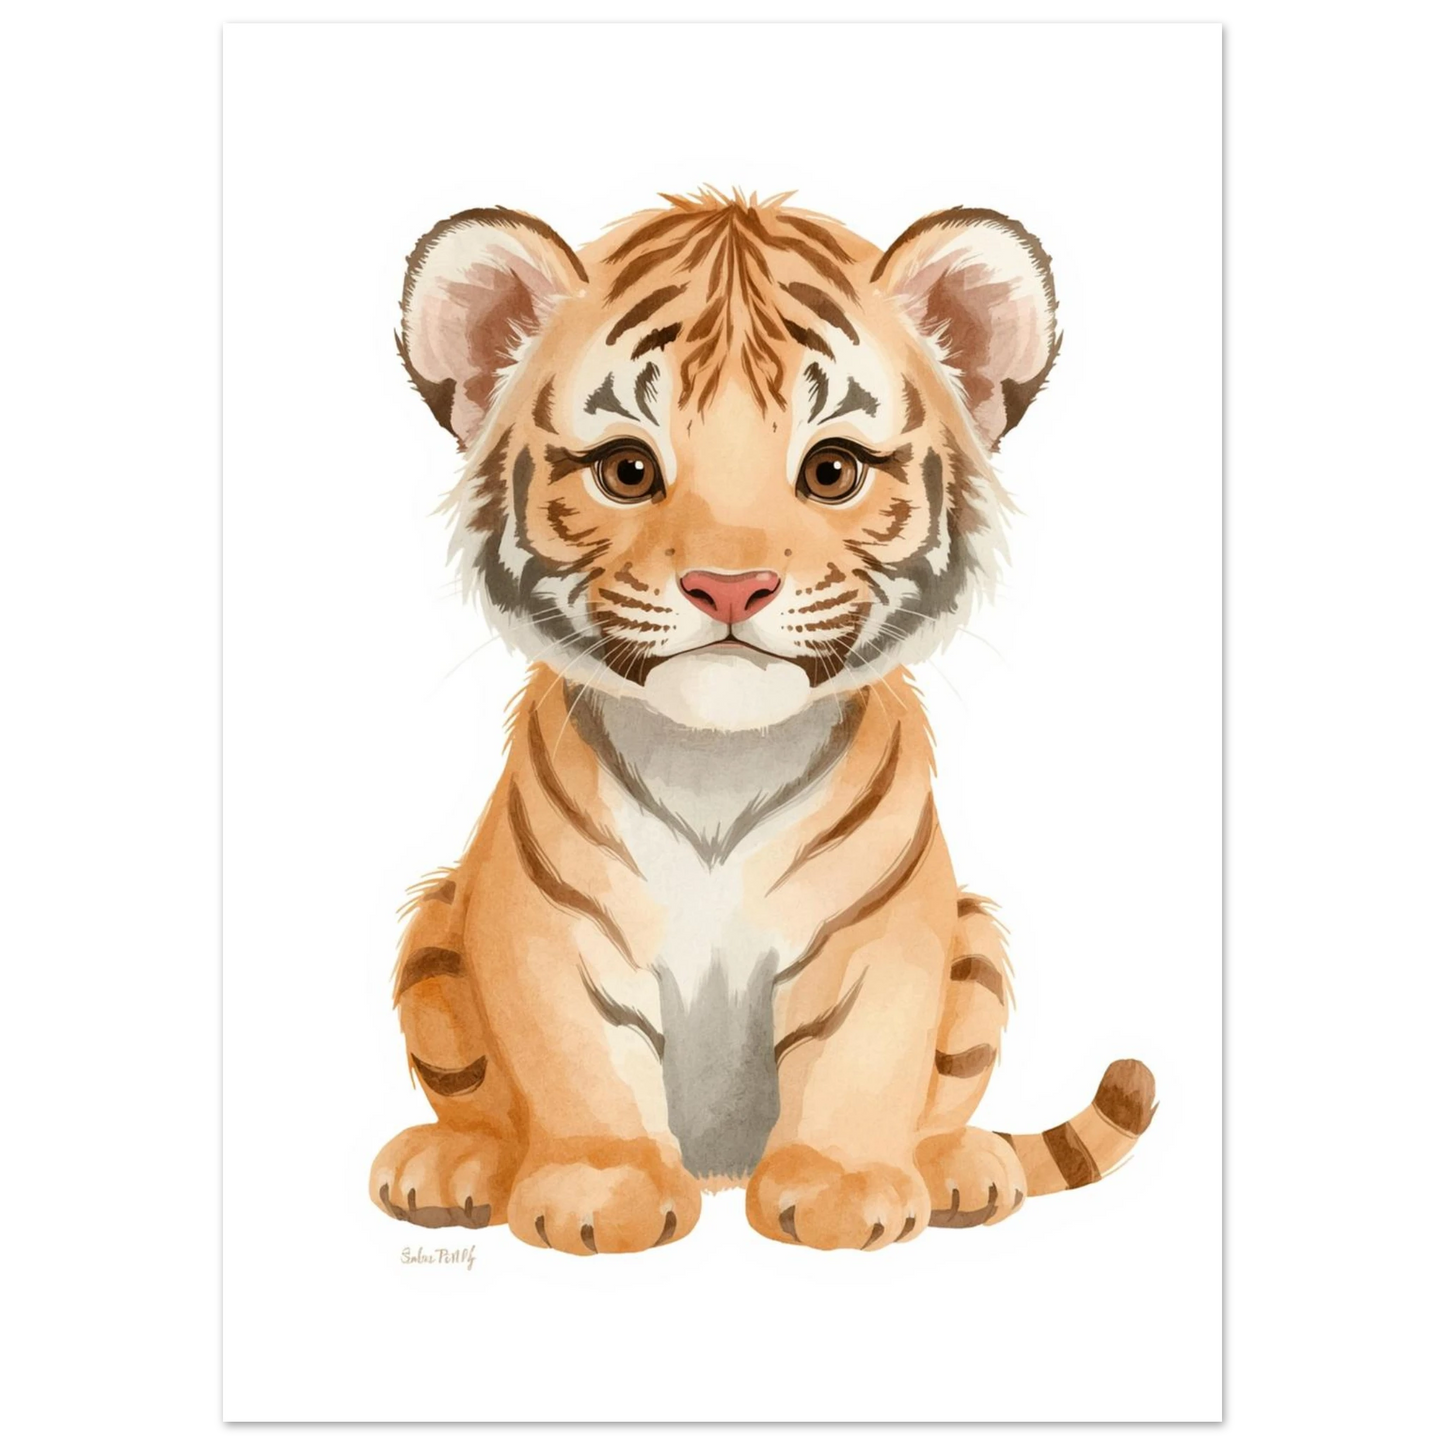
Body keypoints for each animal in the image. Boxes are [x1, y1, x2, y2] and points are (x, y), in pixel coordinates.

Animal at [370, 188, 1157, 1254]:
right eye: (627, 470)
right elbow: (577, 1059)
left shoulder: (883, 933)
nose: (729, 585)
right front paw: (599, 1189)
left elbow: (862, 1056)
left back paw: (959, 1168)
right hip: (433, 930)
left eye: (832, 470)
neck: (715, 761)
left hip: (975, 946)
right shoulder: (546, 927)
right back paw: (452, 1164)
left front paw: (843, 1188)